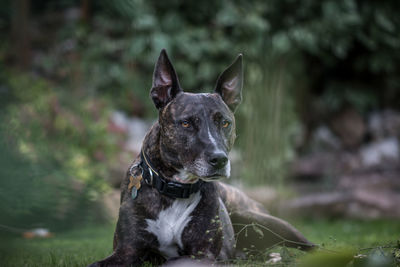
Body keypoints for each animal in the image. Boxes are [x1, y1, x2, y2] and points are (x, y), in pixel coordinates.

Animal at [89, 50, 314, 267]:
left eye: (225, 123)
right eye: (186, 123)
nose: (220, 159)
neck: (174, 190)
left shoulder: (203, 253)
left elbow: (173, 262)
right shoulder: (127, 250)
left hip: (262, 219)